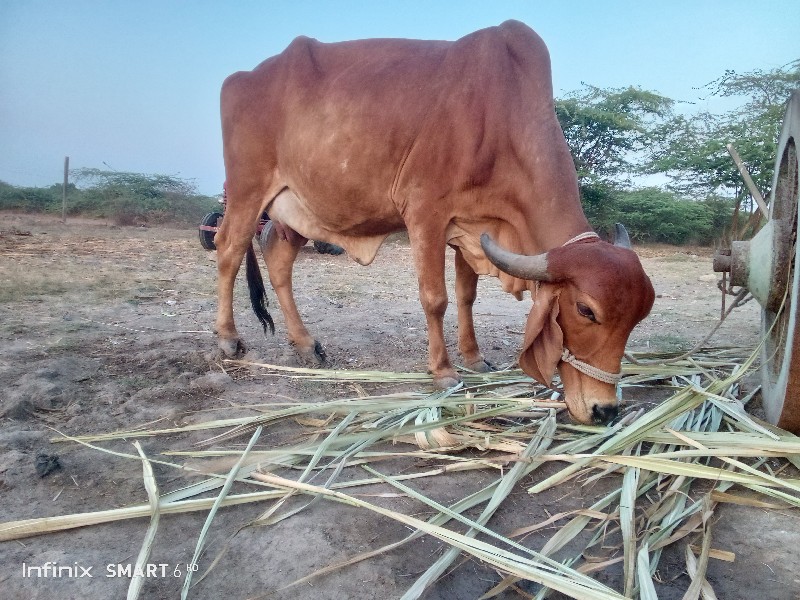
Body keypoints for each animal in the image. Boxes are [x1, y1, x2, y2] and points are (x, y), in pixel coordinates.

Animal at [216, 18, 652, 422]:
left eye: (639, 318)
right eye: (585, 310)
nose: (605, 410)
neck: (498, 115)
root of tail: (241, 78)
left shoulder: (473, 227)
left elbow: (466, 296)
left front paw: (474, 358)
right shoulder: (425, 212)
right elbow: (436, 299)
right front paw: (443, 372)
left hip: (294, 210)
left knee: (277, 259)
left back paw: (306, 344)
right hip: (247, 191)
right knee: (229, 251)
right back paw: (228, 339)